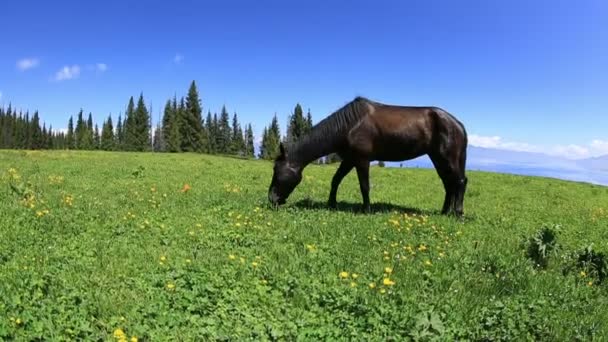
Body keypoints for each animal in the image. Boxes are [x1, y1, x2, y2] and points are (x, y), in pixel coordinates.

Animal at [268, 95, 470, 216]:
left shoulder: (362, 160)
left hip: (447, 158)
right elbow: (336, 180)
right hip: (438, 158)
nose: (272, 199)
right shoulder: (349, 159)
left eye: (277, 170)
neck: (349, 126)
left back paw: (458, 213)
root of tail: (457, 123)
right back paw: (444, 212)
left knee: (459, 181)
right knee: (448, 183)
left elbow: (364, 186)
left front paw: (366, 209)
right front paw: (331, 204)